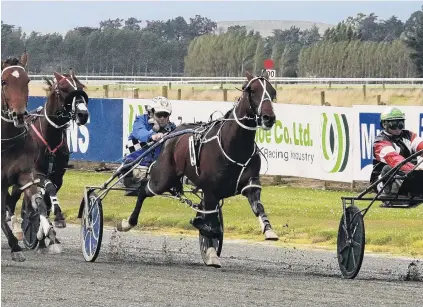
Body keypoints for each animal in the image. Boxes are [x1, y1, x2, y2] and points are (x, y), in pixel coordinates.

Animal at [117, 71, 280, 268]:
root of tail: (171, 135)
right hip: (162, 179)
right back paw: (128, 222)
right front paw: (210, 249)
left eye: (272, 92)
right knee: (143, 190)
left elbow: (257, 206)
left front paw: (268, 229)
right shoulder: (210, 190)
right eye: (252, 90)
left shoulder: (250, 184)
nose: (268, 117)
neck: (232, 145)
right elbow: (209, 222)